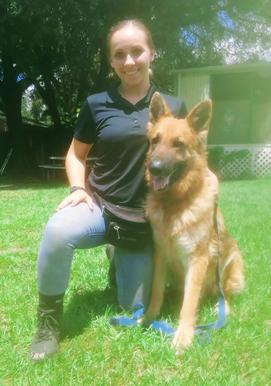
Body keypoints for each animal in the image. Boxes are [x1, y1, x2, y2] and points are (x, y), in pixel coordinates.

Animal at [141, 92, 245, 352]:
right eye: (155, 141)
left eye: (178, 144)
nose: (154, 168)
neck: (174, 204)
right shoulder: (160, 255)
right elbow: (156, 291)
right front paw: (149, 317)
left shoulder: (198, 260)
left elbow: (188, 303)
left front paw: (184, 336)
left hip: (230, 261)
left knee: (222, 293)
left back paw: (222, 308)